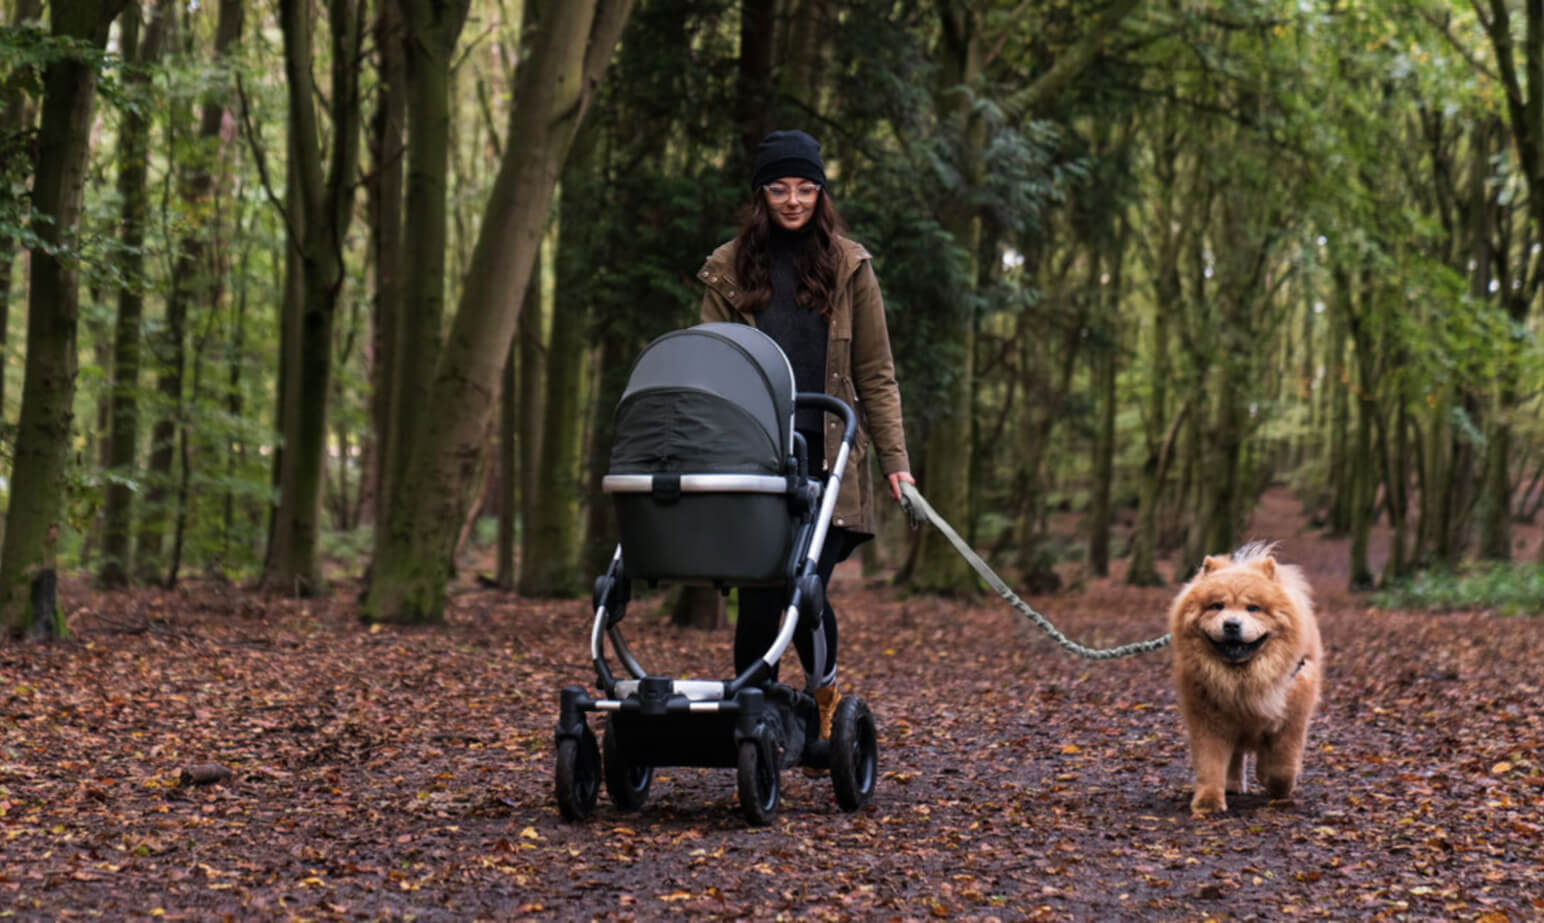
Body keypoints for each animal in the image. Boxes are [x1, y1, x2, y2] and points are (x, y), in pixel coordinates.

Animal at [1167, 543, 1327, 814]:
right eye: (1216, 606)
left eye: (1253, 608)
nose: (1231, 624)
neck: (1244, 678)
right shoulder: (1208, 721)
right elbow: (1211, 763)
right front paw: (1208, 801)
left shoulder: (1292, 719)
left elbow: (1283, 765)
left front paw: (1276, 787)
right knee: (1235, 757)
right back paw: (1231, 785)